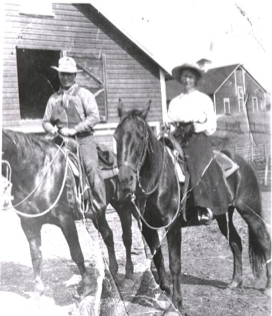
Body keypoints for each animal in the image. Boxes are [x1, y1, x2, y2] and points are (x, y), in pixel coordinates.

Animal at [1, 129, 134, 298]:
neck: (37, 172)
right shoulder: (28, 224)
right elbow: (36, 256)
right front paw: (38, 290)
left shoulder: (66, 221)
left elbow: (76, 253)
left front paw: (86, 286)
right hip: (98, 213)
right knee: (108, 234)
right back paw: (113, 269)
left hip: (123, 204)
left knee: (126, 237)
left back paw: (129, 272)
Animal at [113, 100, 270, 312]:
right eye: (116, 136)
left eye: (140, 137)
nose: (125, 179)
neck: (159, 179)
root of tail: (242, 162)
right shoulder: (148, 228)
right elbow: (158, 259)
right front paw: (165, 292)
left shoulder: (173, 226)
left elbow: (175, 263)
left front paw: (177, 302)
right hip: (223, 216)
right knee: (236, 242)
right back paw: (235, 282)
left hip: (249, 212)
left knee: (264, 240)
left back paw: (267, 287)